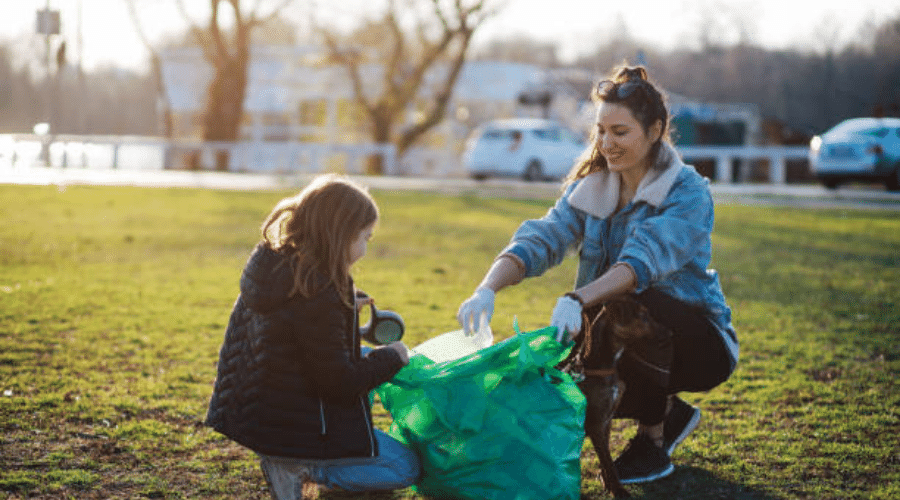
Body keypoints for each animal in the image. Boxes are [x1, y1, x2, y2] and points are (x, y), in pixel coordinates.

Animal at [560, 296, 672, 496]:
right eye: (643, 315)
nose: (671, 333)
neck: (599, 367)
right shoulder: (596, 424)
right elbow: (607, 460)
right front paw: (619, 491)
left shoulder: (607, 421)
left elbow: (607, 460)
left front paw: (610, 485)